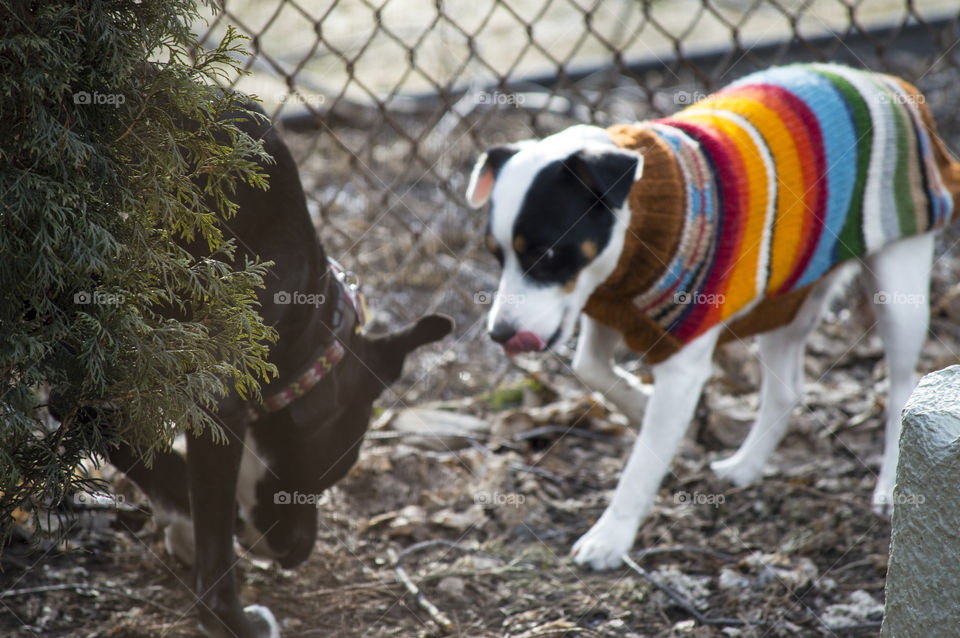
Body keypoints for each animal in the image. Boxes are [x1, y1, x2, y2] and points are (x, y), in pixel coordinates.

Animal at [54, 102, 452, 636]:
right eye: (329, 471)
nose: (297, 553)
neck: (306, 326)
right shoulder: (216, 399)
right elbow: (214, 548)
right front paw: (232, 617)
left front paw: (182, 518)